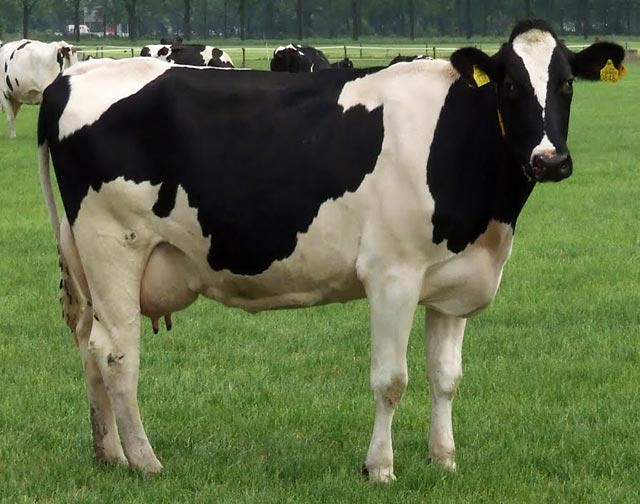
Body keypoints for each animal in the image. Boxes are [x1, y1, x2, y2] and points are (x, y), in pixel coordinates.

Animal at [38, 20, 624, 482]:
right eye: (510, 86)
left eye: (566, 84)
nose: (550, 159)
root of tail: (74, 76)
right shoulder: (392, 275)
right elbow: (391, 380)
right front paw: (380, 468)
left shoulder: (453, 280)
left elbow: (446, 377)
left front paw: (444, 460)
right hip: (114, 245)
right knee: (117, 352)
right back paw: (145, 461)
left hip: (89, 261)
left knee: (89, 344)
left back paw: (110, 454)